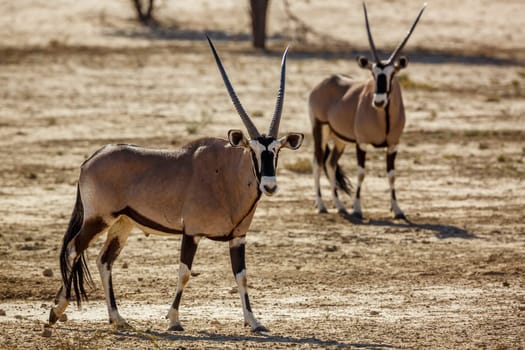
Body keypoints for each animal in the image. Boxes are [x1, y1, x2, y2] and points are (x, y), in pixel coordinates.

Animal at [50, 37, 302, 332]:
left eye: (276, 151)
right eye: (252, 150)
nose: (270, 186)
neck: (227, 177)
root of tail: (89, 161)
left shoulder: (238, 238)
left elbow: (242, 276)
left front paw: (254, 321)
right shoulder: (191, 232)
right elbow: (184, 273)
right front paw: (174, 320)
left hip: (122, 223)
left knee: (104, 260)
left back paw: (117, 318)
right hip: (98, 219)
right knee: (72, 250)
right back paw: (57, 310)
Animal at [310, 2, 424, 219]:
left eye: (392, 74)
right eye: (373, 73)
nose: (378, 102)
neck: (384, 118)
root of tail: (324, 82)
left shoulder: (393, 145)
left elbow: (391, 175)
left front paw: (397, 209)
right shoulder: (361, 143)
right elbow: (361, 173)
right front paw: (357, 208)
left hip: (340, 139)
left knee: (330, 164)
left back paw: (340, 206)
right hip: (320, 128)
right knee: (318, 163)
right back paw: (321, 205)